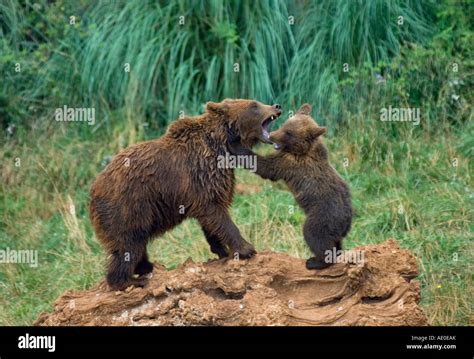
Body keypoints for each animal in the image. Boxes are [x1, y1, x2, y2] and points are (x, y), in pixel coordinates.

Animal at [90, 100, 280, 292]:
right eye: (254, 105)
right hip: (128, 205)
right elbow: (216, 212)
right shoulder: (201, 173)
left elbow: (211, 218)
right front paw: (246, 249)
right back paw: (131, 281)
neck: (222, 144)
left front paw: (222, 250)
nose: (276, 106)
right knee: (128, 243)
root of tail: (94, 189)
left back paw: (145, 267)